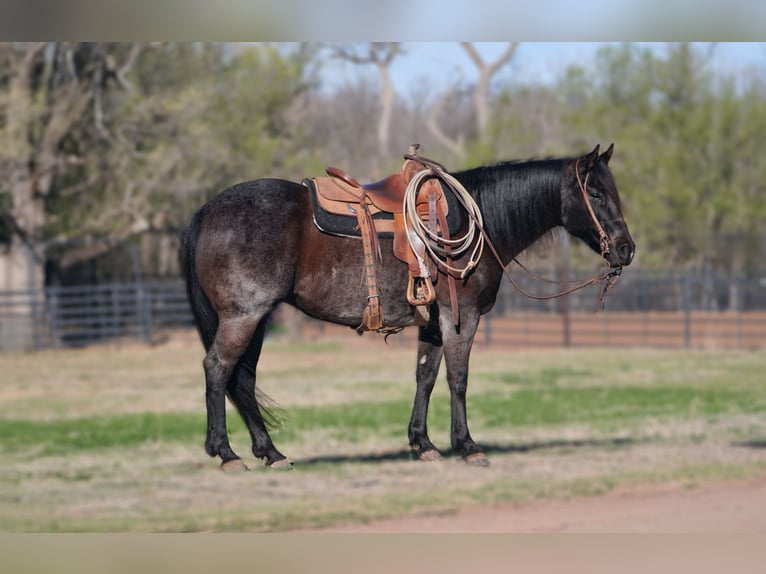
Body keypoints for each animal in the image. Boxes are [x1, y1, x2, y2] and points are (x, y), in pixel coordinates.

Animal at [180, 144, 636, 472]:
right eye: (595, 193)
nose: (626, 250)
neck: (482, 220)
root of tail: (207, 209)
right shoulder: (460, 317)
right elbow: (458, 379)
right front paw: (467, 446)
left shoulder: (432, 322)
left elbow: (425, 377)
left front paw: (423, 443)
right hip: (243, 316)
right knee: (218, 369)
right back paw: (226, 453)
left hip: (254, 320)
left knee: (243, 377)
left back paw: (270, 452)